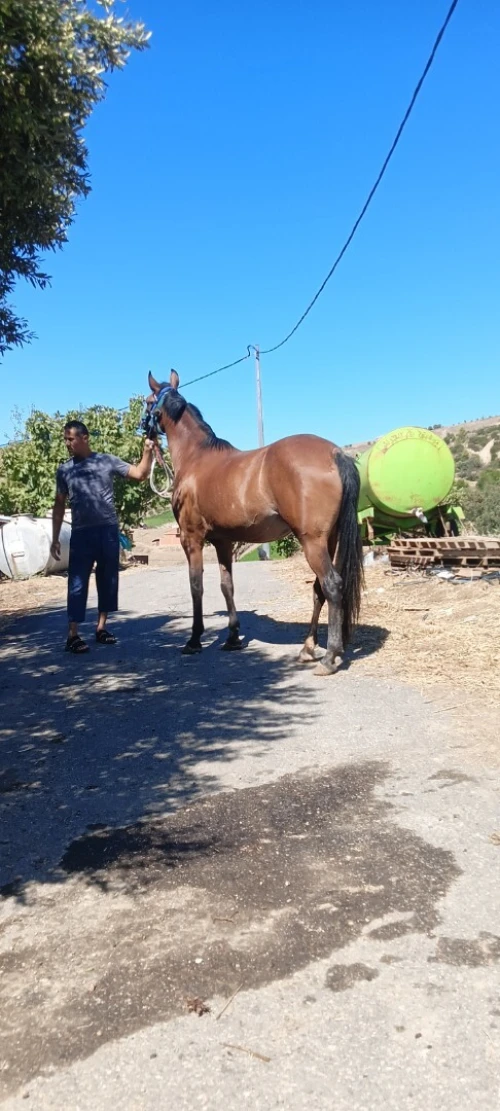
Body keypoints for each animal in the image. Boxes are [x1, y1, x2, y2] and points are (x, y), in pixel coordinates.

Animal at [145, 370, 363, 676]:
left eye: (147, 401)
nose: (145, 431)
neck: (196, 457)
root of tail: (335, 453)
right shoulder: (223, 542)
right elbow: (227, 586)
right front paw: (233, 638)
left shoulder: (191, 538)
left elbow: (196, 586)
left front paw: (194, 640)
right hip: (328, 540)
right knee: (319, 589)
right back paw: (308, 648)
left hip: (312, 542)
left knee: (331, 585)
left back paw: (329, 657)